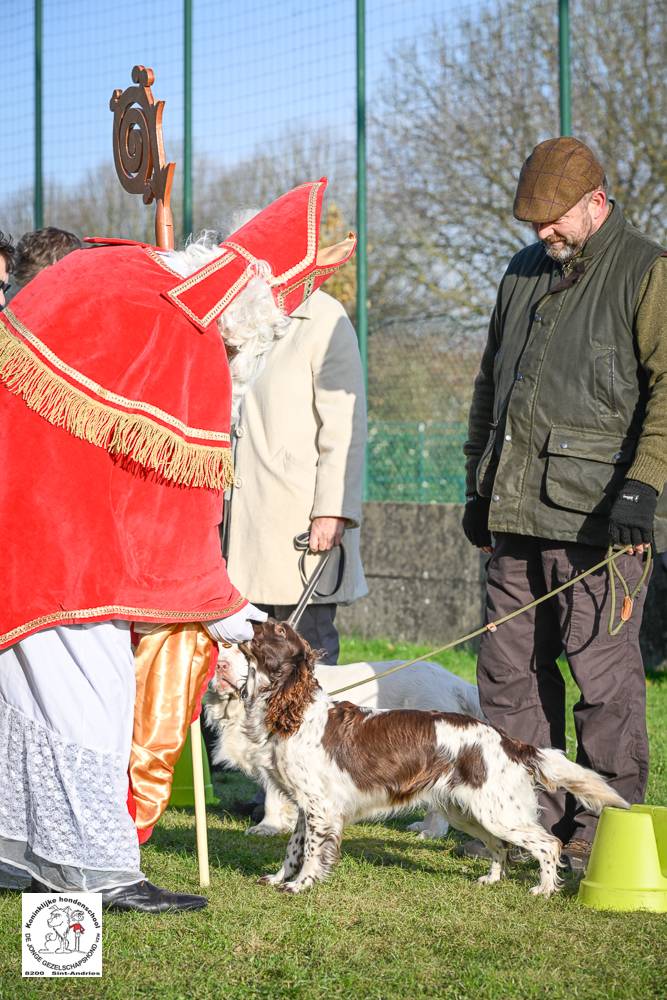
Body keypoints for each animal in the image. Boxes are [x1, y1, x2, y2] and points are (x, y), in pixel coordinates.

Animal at [205, 640, 486, 836]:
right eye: (219, 647)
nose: (220, 666)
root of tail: (453, 682)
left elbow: (274, 796)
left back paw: (430, 831)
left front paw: (268, 826)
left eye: (242, 651)